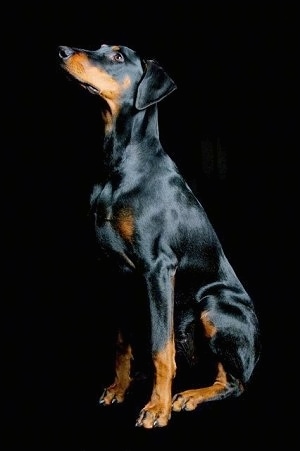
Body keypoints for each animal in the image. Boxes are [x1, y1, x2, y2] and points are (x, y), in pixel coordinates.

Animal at [58, 44, 260, 430]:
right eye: (101, 48)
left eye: (118, 57)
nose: (61, 51)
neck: (119, 165)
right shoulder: (115, 271)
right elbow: (121, 344)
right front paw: (119, 388)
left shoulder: (158, 268)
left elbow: (160, 349)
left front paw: (156, 409)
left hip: (214, 306)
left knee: (235, 382)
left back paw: (189, 396)